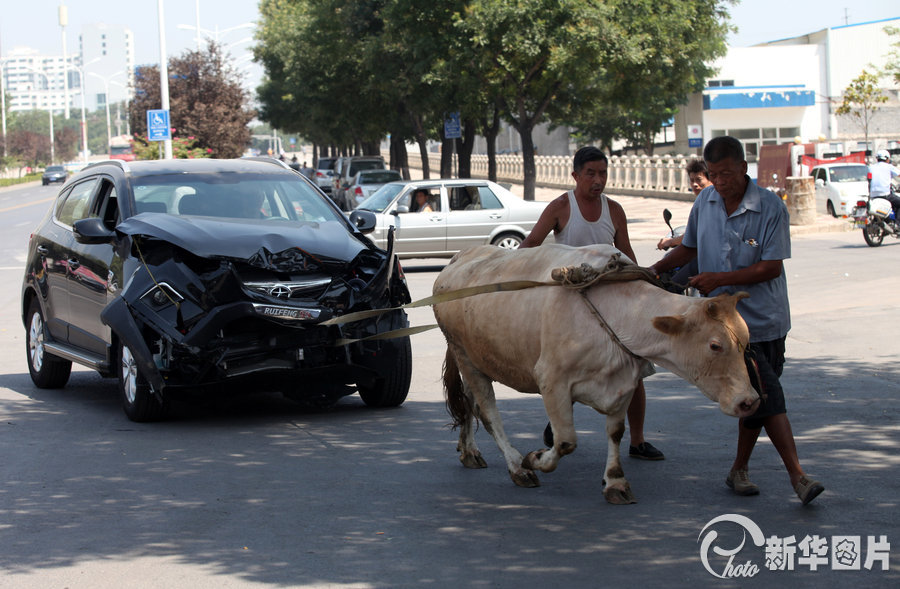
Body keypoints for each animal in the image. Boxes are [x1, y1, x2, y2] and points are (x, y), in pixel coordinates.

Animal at [434, 242, 760, 500]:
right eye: (715, 345)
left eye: (746, 341)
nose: (750, 401)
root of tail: (459, 258)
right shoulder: (551, 381)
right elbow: (566, 441)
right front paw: (535, 459)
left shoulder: (625, 383)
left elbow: (616, 432)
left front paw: (615, 482)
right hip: (465, 355)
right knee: (488, 413)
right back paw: (517, 467)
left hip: (476, 360)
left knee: (468, 402)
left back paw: (469, 451)